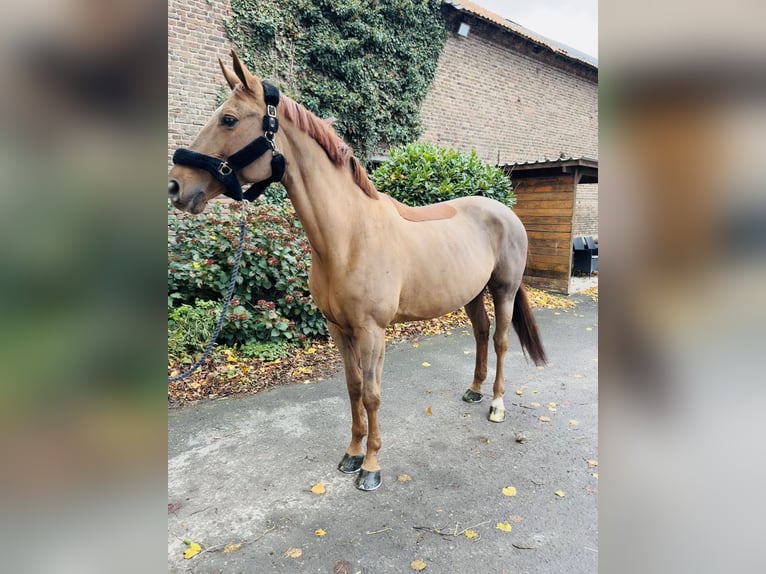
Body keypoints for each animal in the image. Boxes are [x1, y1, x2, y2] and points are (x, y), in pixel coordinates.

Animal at [168, 50, 547, 491]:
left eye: (228, 119)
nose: (176, 186)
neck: (349, 236)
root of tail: (505, 212)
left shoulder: (371, 330)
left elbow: (371, 394)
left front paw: (371, 467)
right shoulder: (339, 328)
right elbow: (351, 389)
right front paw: (351, 454)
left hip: (504, 289)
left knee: (501, 341)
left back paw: (497, 404)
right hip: (470, 293)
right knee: (482, 333)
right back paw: (474, 390)